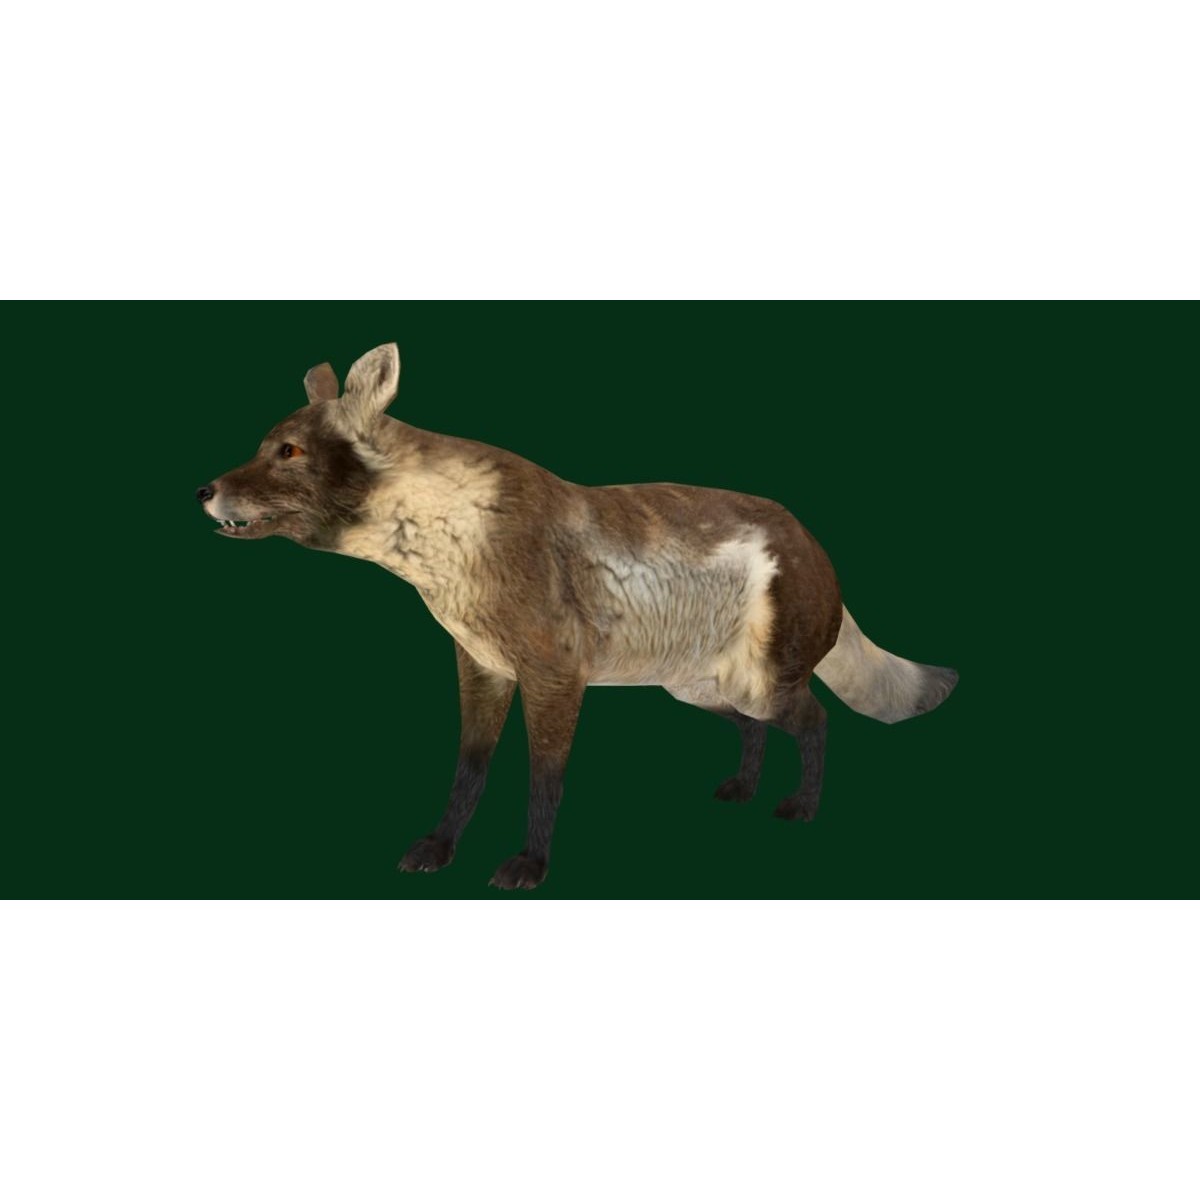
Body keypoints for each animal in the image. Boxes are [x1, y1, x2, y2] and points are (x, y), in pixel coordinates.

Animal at [197, 342, 958, 890]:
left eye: (288, 452)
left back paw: (801, 806)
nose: (203, 490)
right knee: (757, 732)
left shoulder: (556, 678)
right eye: (264, 446)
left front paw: (530, 866)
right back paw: (742, 788)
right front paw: (439, 848)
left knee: (818, 721)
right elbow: (468, 773)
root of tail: (813, 541)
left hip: (759, 685)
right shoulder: (483, 669)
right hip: (699, 689)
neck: (454, 544)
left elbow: (544, 779)